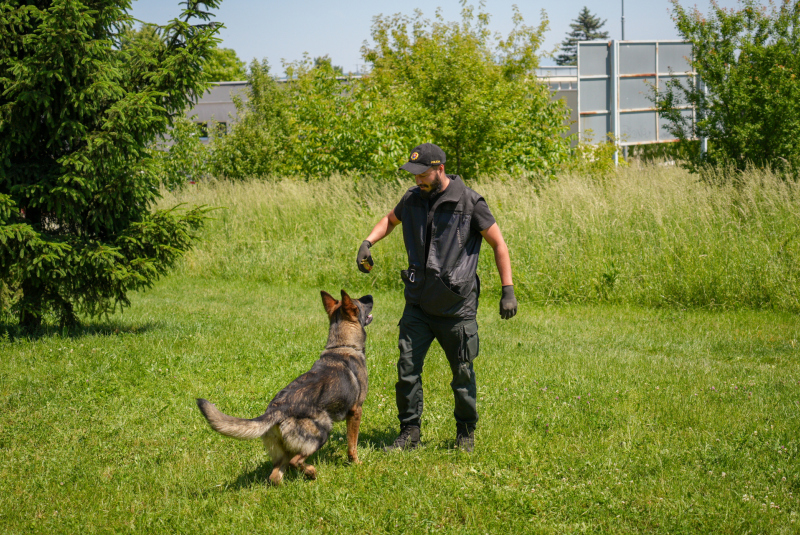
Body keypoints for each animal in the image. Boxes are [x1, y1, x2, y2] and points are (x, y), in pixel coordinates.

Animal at [200, 292, 376, 488]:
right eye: (359, 302)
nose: (370, 295)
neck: (342, 346)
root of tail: (276, 410)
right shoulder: (355, 411)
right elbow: (352, 445)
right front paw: (356, 463)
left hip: (284, 450)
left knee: (275, 475)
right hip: (322, 432)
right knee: (295, 461)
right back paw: (311, 473)